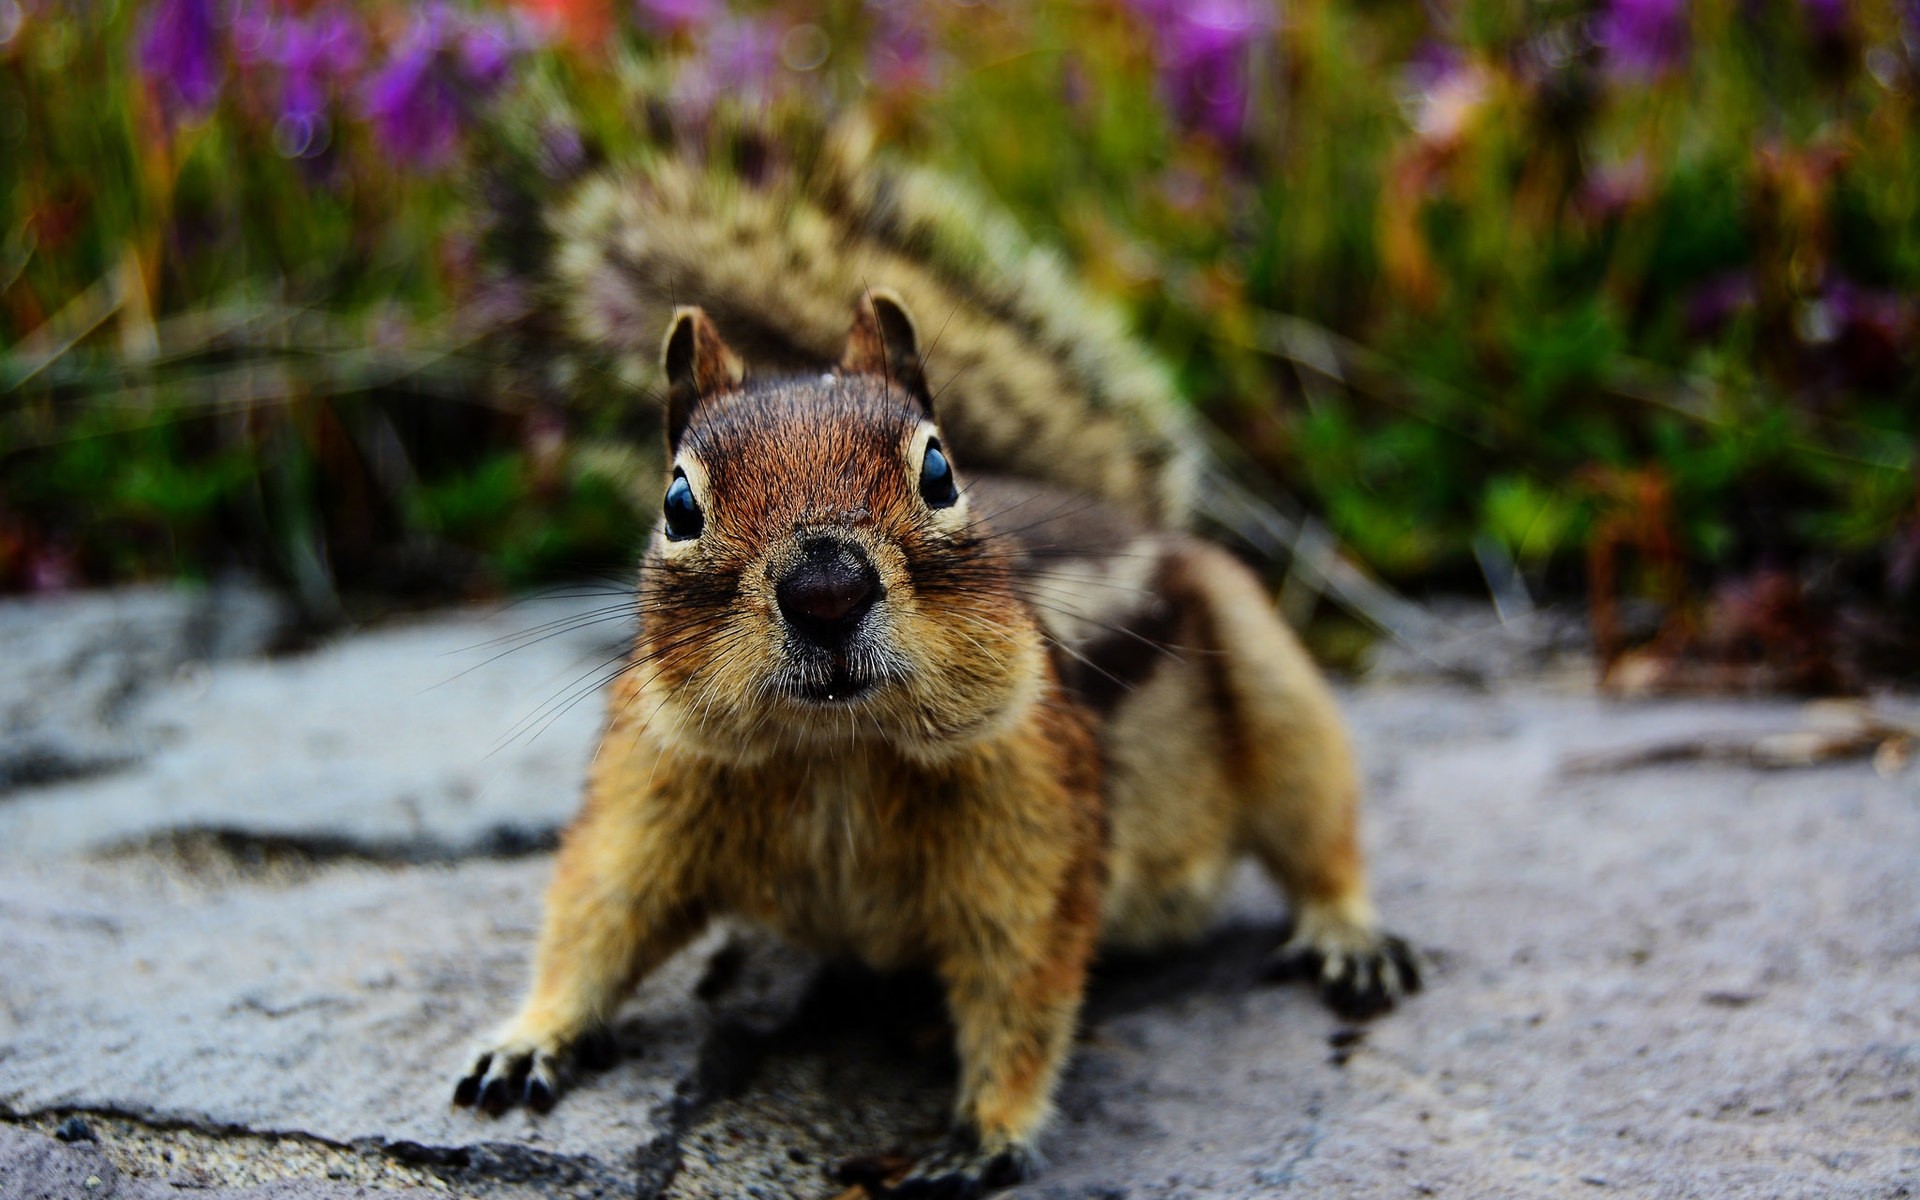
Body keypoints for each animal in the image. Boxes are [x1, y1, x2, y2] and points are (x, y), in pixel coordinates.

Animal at [456, 109, 1420, 1190]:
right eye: (677, 502)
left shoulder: (1032, 831)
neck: (834, 756)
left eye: (939, 471)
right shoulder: (646, 790)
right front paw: (529, 1037)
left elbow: (1023, 991)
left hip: (1275, 688)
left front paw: (987, 1134)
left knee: (1318, 830)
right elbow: (595, 915)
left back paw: (1348, 934)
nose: (825, 589)